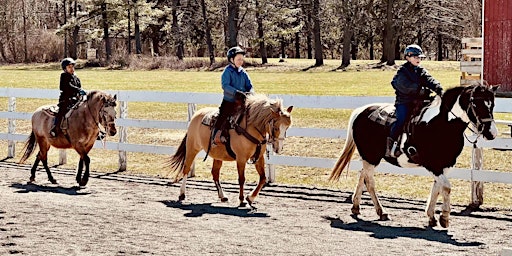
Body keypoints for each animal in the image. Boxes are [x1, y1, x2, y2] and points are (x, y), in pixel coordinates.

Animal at [330, 84, 498, 228]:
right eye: (476, 104)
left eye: (492, 105)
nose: (492, 133)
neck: (441, 124)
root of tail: (360, 111)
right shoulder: (433, 165)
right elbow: (446, 187)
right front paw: (444, 218)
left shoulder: (446, 165)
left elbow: (437, 188)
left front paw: (431, 217)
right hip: (371, 157)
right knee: (370, 182)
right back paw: (382, 212)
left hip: (369, 158)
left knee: (362, 177)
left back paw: (356, 207)